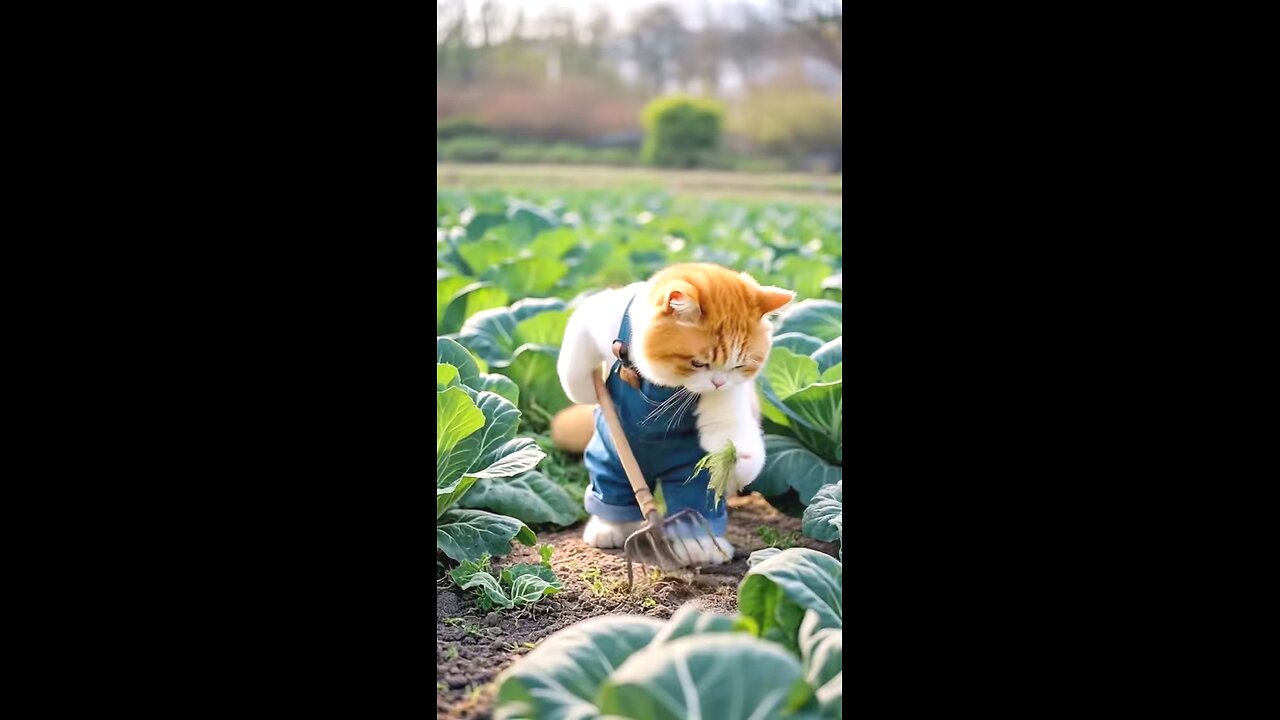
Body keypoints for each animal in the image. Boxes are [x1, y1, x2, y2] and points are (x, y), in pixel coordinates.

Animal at [555, 260, 793, 563]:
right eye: (698, 363)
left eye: (738, 366)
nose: (718, 382)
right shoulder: (599, 313)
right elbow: (577, 348)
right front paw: (585, 387)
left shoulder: (729, 396)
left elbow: (728, 428)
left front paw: (739, 460)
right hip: (611, 454)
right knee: (611, 485)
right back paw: (610, 528)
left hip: (689, 473)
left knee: (694, 501)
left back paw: (699, 546)